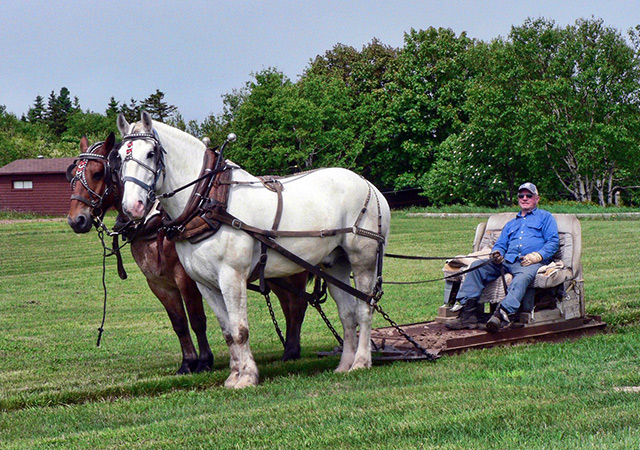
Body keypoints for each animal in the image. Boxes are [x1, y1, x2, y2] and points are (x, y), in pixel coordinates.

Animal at [66, 134, 309, 375]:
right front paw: (188, 362)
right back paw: (290, 348)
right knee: (289, 303)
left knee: (297, 304)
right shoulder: (158, 283)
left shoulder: (186, 278)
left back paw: (291, 351)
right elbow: (179, 323)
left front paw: (204, 361)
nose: (76, 220)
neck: (156, 223)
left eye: (98, 173)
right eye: (73, 174)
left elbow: (197, 319)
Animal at [113, 111, 390, 388]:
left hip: (363, 258)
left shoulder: (231, 276)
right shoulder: (205, 284)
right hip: (335, 264)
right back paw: (344, 364)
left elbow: (240, 330)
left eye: (151, 153)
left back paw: (361, 362)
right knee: (347, 314)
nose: (133, 207)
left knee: (365, 307)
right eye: (119, 158)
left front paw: (246, 376)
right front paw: (234, 376)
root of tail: (370, 186)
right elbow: (227, 331)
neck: (210, 201)